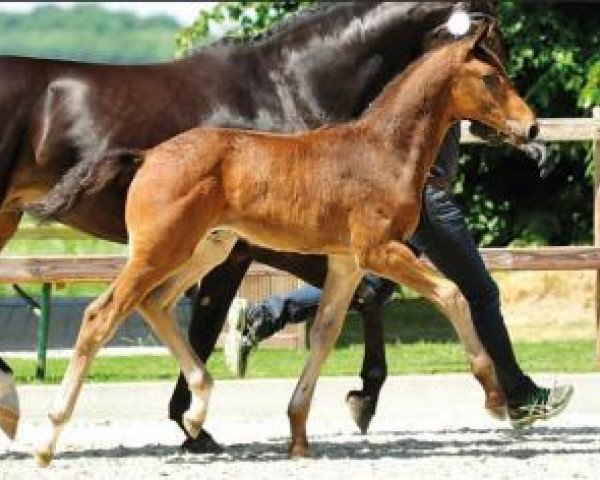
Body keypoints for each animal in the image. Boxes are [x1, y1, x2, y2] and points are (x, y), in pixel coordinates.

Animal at [32, 21, 540, 464]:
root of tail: (148, 155)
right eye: (491, 77)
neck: (383, 150)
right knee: (101, 315)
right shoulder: (379, 249)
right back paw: (48, 439)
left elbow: (326, 332)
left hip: (207, 248)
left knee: (154, 303)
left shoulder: (346, 262)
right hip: (161, 250)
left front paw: (299, 435)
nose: (533, 129)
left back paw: (196, 414)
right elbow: (452, 294)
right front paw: (494, 396)